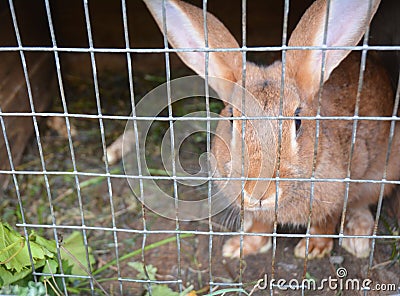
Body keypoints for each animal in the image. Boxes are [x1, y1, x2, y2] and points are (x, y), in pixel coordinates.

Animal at [145, 0, 400, 260]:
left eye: (297, 121)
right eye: (231, 119)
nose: (258, 193)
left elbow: (325, 222)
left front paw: (312, 249)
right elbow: (261, 225)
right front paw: (240, 247)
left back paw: (357, 237)